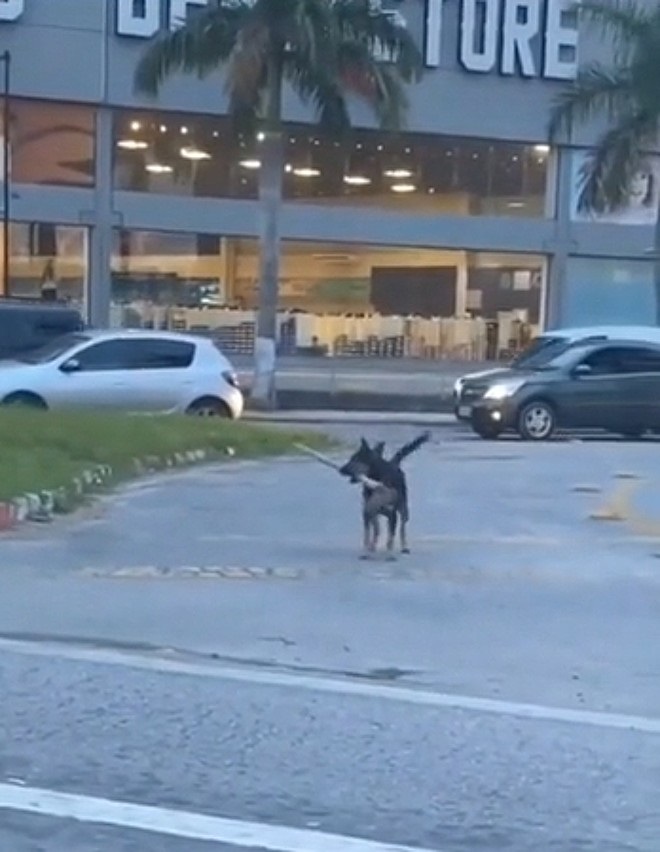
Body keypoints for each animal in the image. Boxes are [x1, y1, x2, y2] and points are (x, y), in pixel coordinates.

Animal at [338, 432, 430, 560]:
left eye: (354, 459)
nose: (340, 470)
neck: (377, 477)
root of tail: (393, 463)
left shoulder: (392, 514)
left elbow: (390, 537)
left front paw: (389, 554)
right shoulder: (369, 513)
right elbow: (369, 533)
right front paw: (367, 551)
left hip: (403, 509)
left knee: (402, 527)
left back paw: (404, 547)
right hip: (380, 513)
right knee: (378, 529)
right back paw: (373, 546)